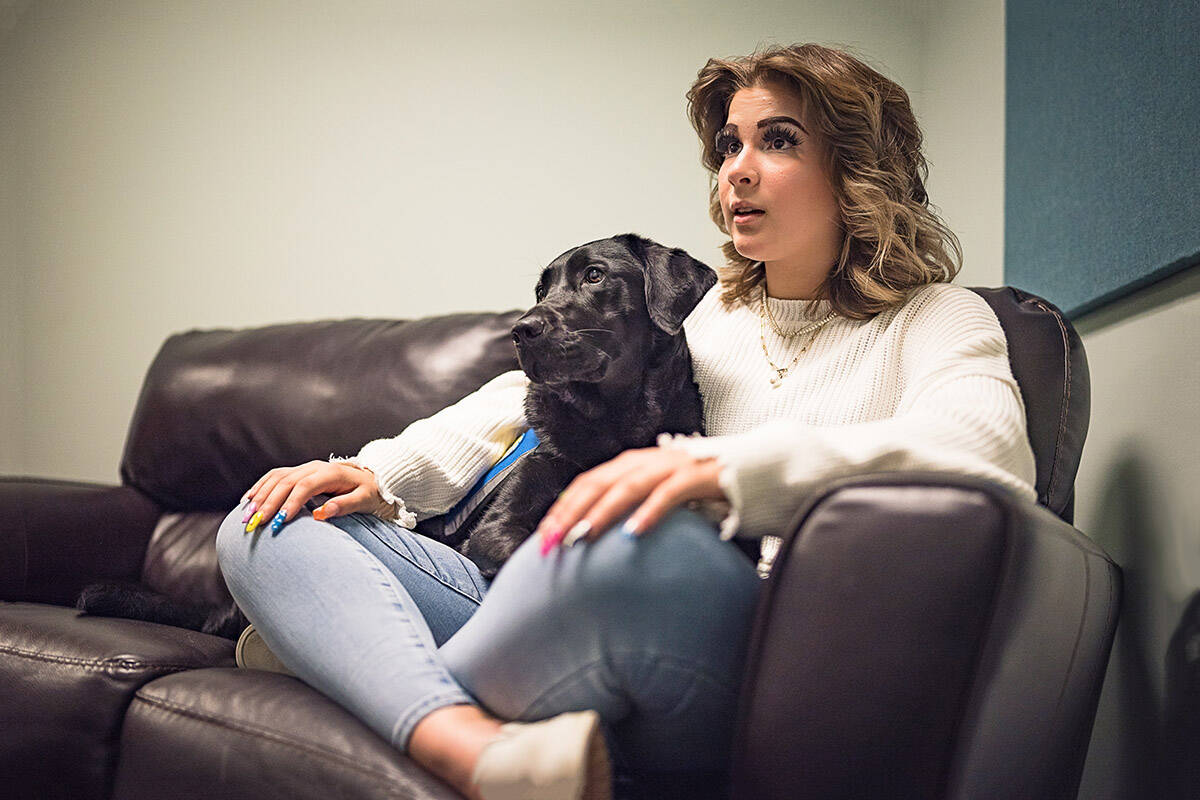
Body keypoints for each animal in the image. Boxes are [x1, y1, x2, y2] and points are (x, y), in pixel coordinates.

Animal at [79, 231, 715, 633]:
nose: (521, 329)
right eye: (541, 289)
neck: (611, 423)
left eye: (595, 276)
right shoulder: (499, 527)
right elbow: (523, 551)